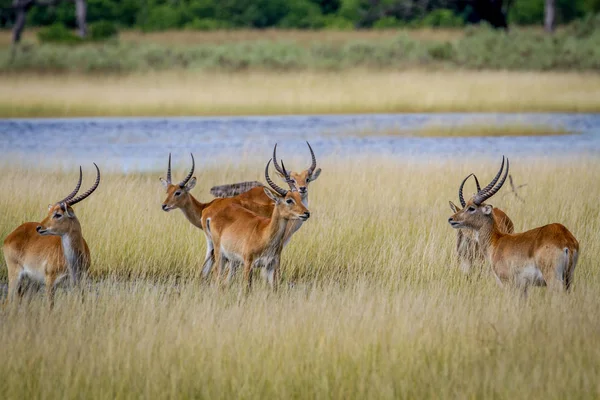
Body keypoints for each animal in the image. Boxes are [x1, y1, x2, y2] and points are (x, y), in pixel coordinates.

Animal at [4, 162, 101, 306]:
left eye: (58, 214)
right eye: (50, 212)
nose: (39, 228)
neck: (72, 262)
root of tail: (12, 234)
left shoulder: (79, 284)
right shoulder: (50, 283)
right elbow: (50, 307)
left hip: (32, 283)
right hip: (15, 276)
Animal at [206, 159, 310, 294]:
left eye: (299, 198)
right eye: (289, 200)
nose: (306, 213)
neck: (264, 234)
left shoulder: (272, 265)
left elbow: (275, 289)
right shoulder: (248, 263)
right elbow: (247, 289)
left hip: (232, 260)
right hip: (220, 255)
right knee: (216, 275)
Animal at [448, 158, 580, 296]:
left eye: (471, 208)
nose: (451, 219)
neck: (496, 241)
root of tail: (566, 238)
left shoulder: (507, 283)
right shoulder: (523, 287)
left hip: (554, 280)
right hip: (568, 280)